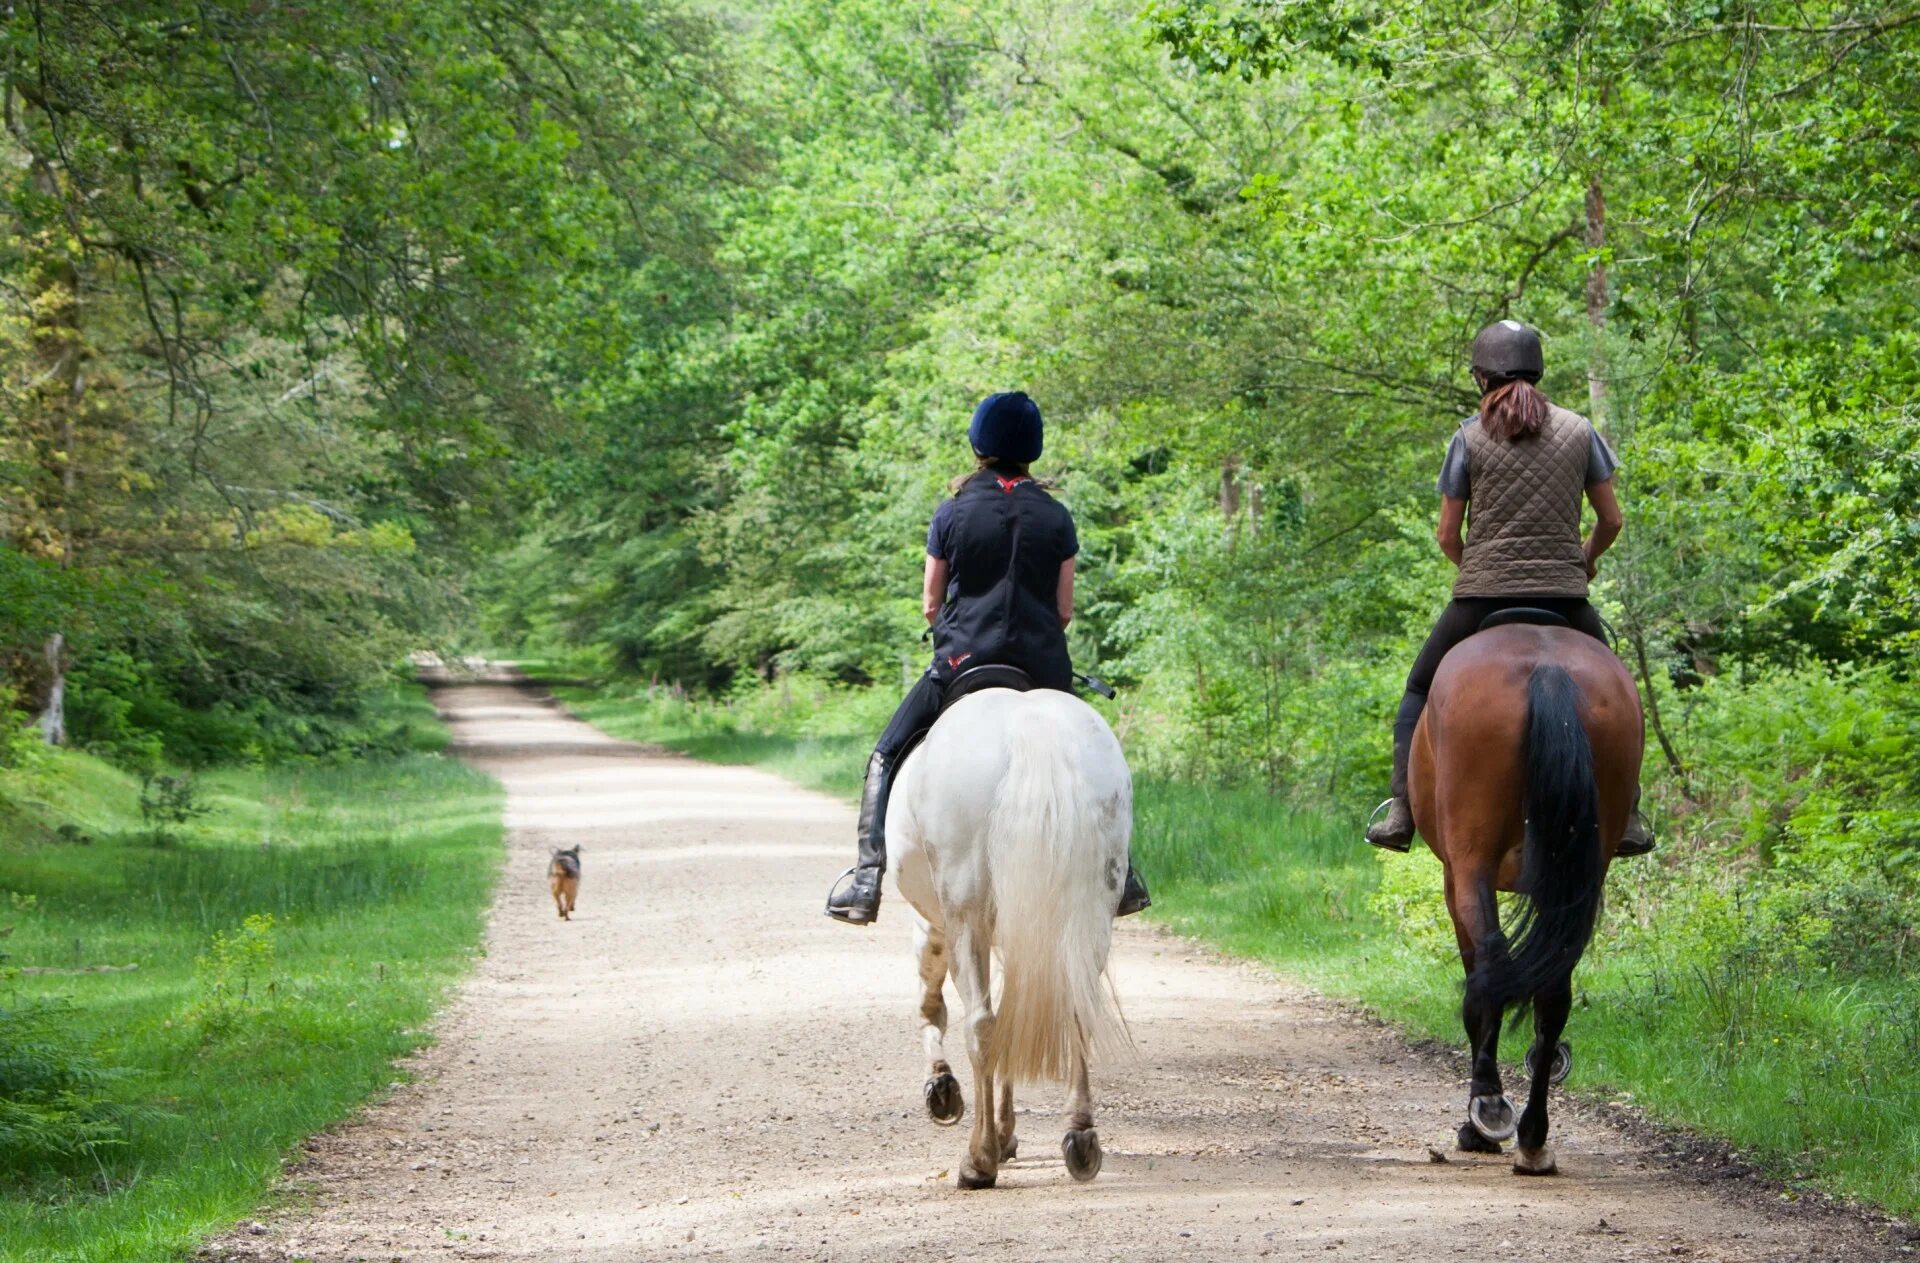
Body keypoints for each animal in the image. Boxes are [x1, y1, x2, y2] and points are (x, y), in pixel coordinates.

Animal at [890, 683, 1128, 1182]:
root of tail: (1029, 726)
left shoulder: (933, 923)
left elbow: (932, 1004)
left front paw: (943, 1089)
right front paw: (1005, 1130)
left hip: (966, 916)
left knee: (981, 1025)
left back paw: (979, 1160)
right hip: (1089, 911)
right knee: (1073, 1007)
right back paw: (1080, 1139)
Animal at [1413, 614, 1635, 1174]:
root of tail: (1548, 668)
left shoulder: (1454, 876)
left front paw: (1478, 1123)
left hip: (1471, 861)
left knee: (1490, 971)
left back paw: (1488, 1111)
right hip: (1584, 869)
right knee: (1554, 991)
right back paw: (1534, 1137)